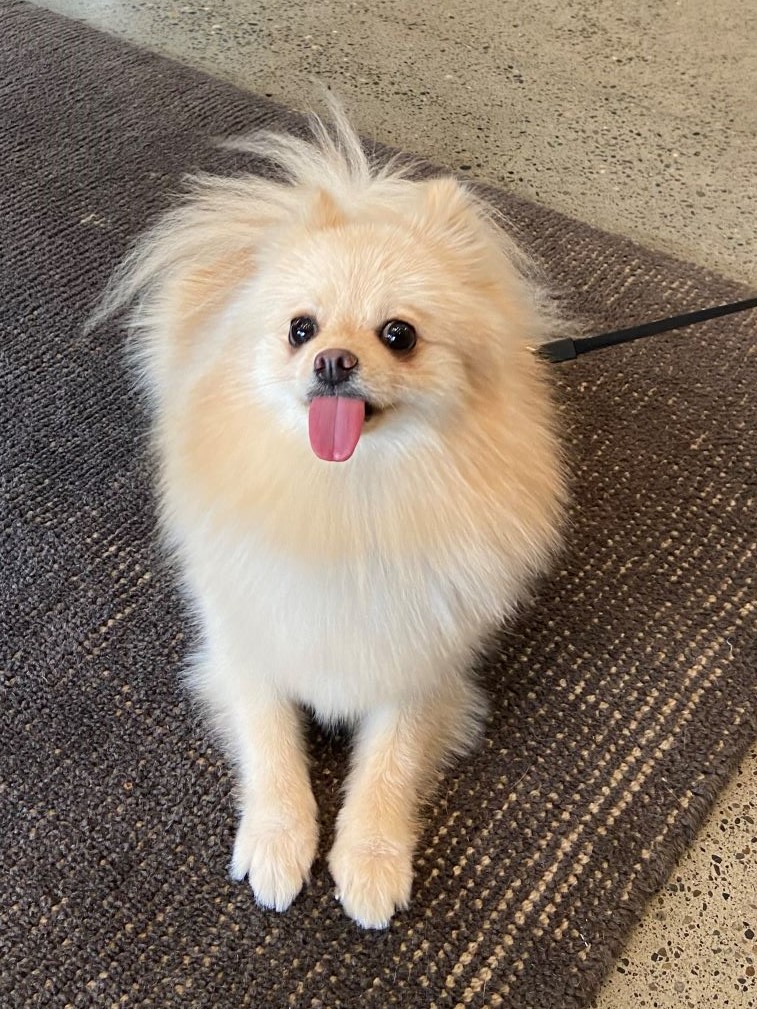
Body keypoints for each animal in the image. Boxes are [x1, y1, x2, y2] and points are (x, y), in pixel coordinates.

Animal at [94, 105, 566, 928]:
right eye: (301, 329)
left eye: (398, 334)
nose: (333, 361)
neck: (347, 501)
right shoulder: (250, 639)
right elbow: (273, 745)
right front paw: (278, 842)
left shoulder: (419, 659)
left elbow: (390, 760)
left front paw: (371, 858)